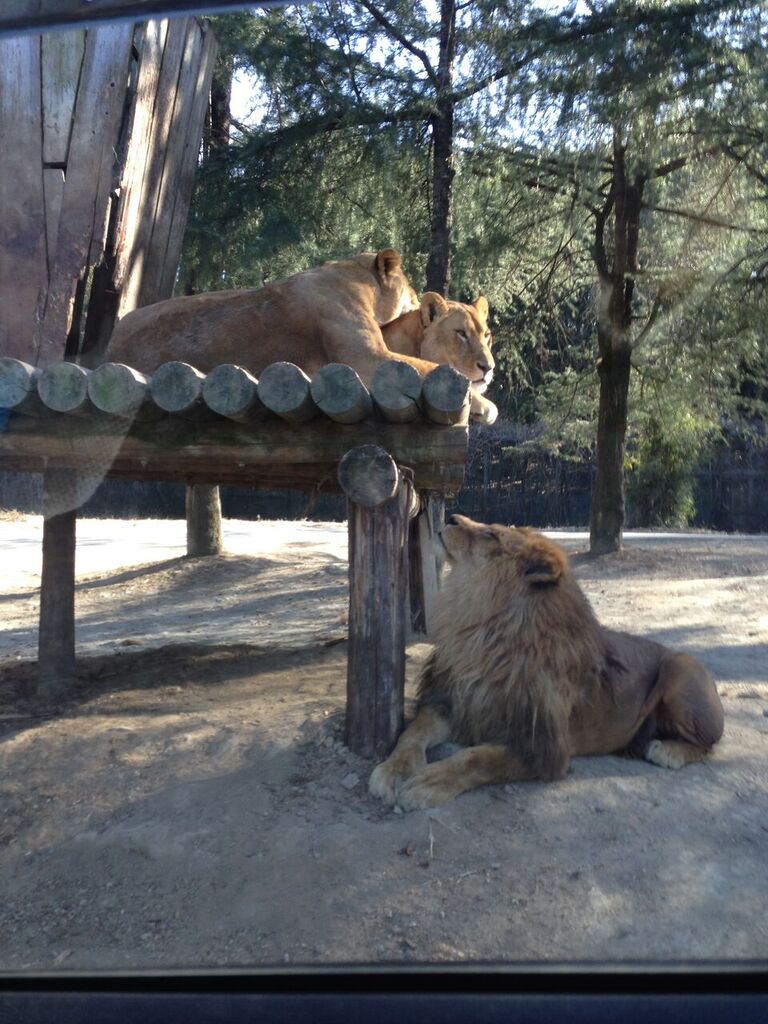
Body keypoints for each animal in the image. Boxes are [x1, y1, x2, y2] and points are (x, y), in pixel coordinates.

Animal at [372, 516, 729, 811]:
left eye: (491, 534)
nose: (449, 518)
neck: (484, 635)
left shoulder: (543, 746)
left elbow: (477, 759)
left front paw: (428, 782)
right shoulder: (451, 701)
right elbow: (413, 733)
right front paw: (392, 772)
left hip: (681, 666)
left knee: (709, 743)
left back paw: (668, 751)